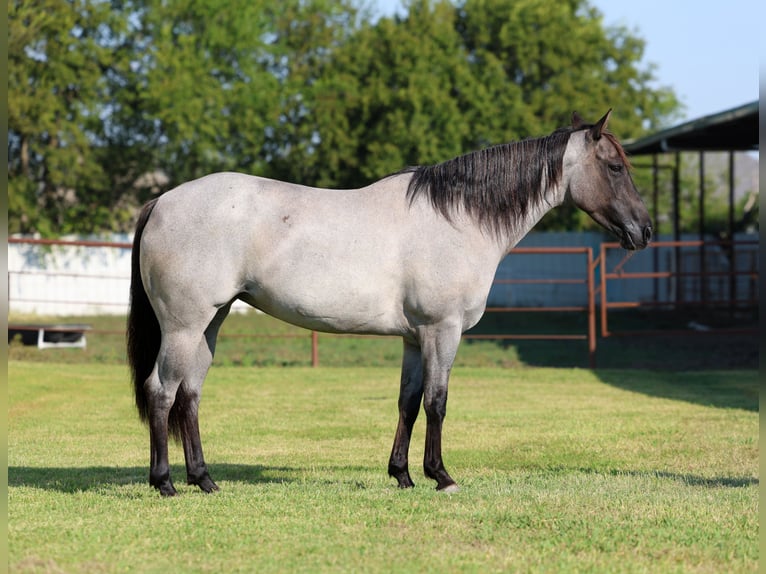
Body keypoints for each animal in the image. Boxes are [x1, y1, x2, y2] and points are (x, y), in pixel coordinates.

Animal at [127, 110, 652, 496]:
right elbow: (438, 402)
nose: (644, 231)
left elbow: (409, 402)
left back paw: (204, 480)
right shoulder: (442, 331)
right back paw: (165, 483)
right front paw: (441, 476)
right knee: (162, 390)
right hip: (183, 325)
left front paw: (402, 475)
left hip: (209, 324)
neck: (458, 218)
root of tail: (162, 201)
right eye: (615, 167)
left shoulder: (415, 338)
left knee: (189, 395)